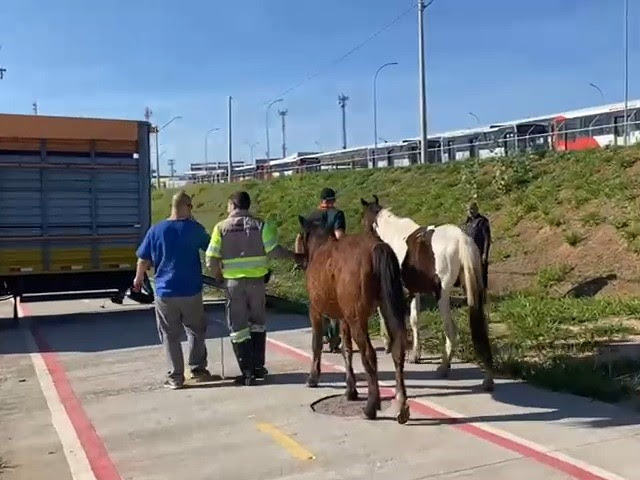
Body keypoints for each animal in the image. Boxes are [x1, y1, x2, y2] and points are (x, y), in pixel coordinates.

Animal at [296, 215, 410, 424]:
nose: (299, 261)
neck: (321, 247)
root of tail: (376, 247)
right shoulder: (344, 318)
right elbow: (346, 349)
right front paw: (351, 389)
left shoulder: (315, 310)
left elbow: (317, 344)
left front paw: (313, 377)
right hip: (386, 309)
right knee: (398, 350)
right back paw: (401, 404)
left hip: (358, 319)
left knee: (369, 356)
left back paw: (371, 407)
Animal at [360, 197, 496, 392]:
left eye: (363, 219)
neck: (393, 234)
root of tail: (462, 239)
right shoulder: (415, 291)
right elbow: (415, 320)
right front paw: (415, 355)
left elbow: (389, 316)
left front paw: (388, 343)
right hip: (472, 292)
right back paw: (487, 378)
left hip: (443, 295)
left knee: (450, 330)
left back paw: (444, 367)